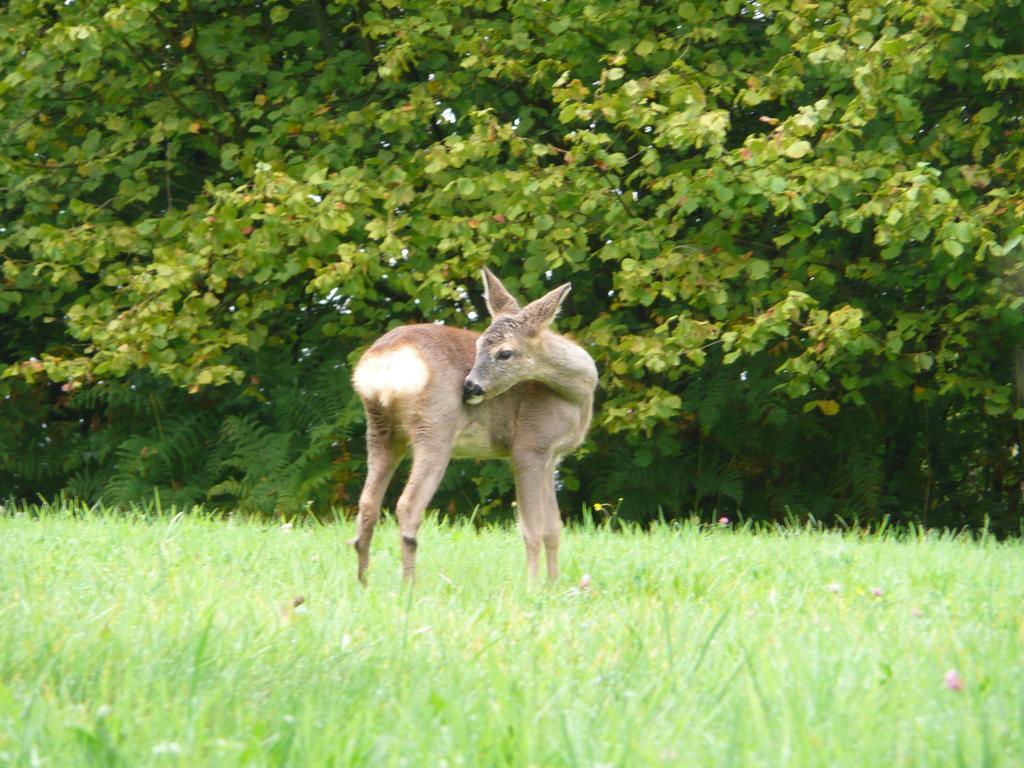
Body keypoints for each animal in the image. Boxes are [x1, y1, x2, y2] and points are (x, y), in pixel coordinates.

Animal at [350, 268, 598, 585]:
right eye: (479, 345)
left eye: (504, 353)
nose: (469, 387)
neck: (577, 394)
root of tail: (382, 365)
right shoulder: (529, 445)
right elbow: (532, 529)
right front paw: (533, 586)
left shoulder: (552, 456)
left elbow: (554, 529)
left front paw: (553, 584)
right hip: (435, 427)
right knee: (406, 504)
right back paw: (409, 585)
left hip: (381, 429)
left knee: (367, 504)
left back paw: (364, 583)